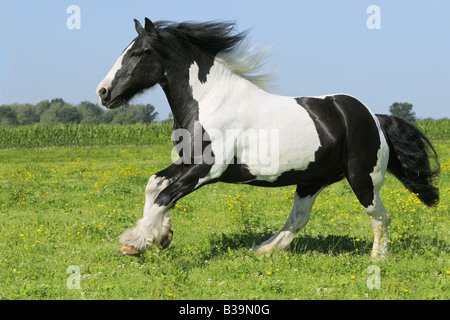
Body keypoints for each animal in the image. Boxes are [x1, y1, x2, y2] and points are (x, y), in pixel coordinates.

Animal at [96, 17, 440, 258]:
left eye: (138, 52)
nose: (103, 92)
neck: (209, 101)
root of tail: (374, 118)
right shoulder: (187, 162)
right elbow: (154, 184)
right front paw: (158, 236)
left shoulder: (207, 170)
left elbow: (166, 195)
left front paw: (137, 241)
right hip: (312, 180)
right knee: (298, 220)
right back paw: (262, 250)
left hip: (363, 179)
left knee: (381, 217)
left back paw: (377, 260)